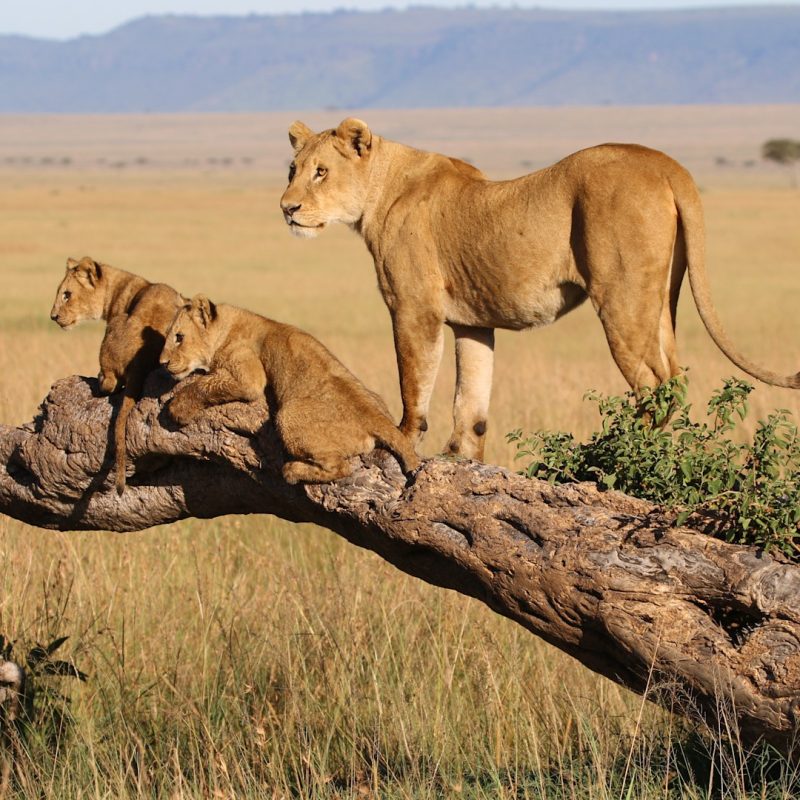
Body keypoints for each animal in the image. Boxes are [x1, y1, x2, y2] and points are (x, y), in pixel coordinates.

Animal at [50, 257, 183, 493]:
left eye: (67, 294)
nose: (53, 317)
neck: (120, 288)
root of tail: (139, 362)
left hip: (115, 325)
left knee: (110, 384)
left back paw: (96, 379)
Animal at [159, 295, 420, 484]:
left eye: (179, 337)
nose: (162, 362)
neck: (226, 326)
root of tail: (376, 417)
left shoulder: (249, 375)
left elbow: (205, 385)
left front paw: (178, 408)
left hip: (287, 415)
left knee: (341, 467)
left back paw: (292, 471)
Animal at [280, 118, 800, 461]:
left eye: (321, 171)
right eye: (292, 169)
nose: (287, 208)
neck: (378, 191)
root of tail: (667, 164)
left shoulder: (413, 308)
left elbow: (414, 386)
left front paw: (404, 442)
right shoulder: (473, 322)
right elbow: (472, 401)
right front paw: (460, 457)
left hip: (621, 296)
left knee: (654, 384)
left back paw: (624, 451)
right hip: (661, 300)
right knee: (675, 375)